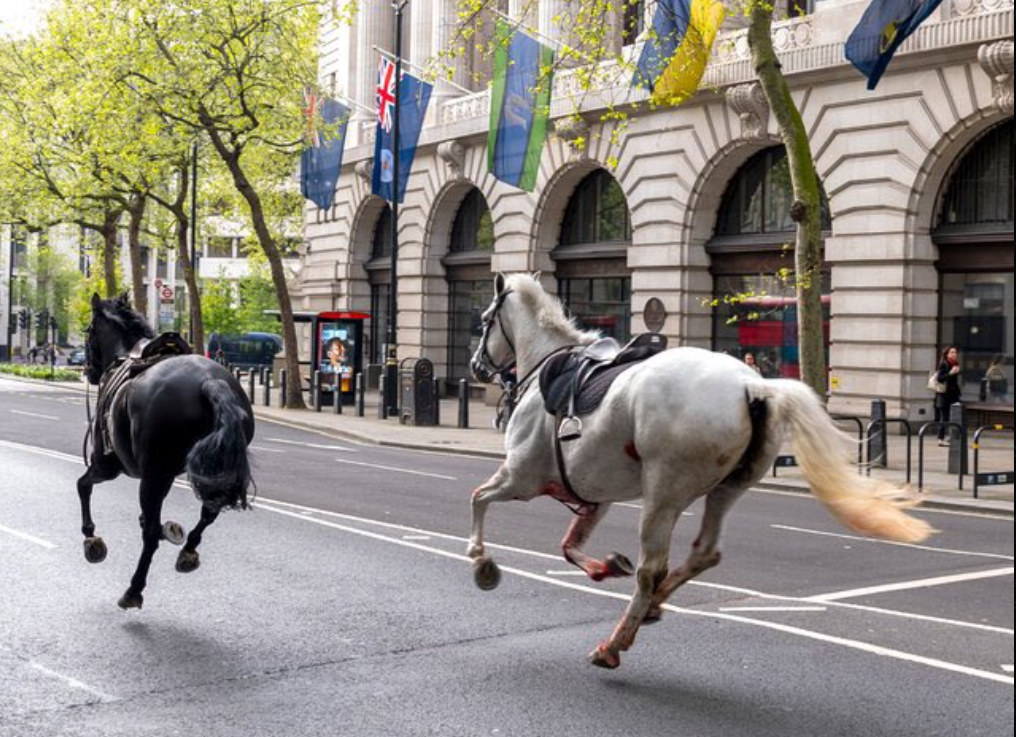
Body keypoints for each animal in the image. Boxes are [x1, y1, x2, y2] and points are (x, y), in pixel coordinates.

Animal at [81, 292, 256, 609]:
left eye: (89, 330)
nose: (88, 372)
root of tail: (209, 381)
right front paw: (170, 529)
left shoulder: (107, 465)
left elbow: (83, 486)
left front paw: (91, 538)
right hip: (210, 469)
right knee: (209, 511)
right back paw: (187, 550)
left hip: (152, 474)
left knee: (150, 536)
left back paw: (133, 589)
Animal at [467, 272, 934, 670]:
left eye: (485, 320)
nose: (475, 367)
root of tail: (755, 384)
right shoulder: (593, 494)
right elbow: (568, 545)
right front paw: (604, 566)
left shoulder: (522, 477)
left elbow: (479, 498)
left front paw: (481, 561)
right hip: (727, 487)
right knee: (704, 552)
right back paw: (652, 606)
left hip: (663, 493)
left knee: (651, 569)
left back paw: (614, 643)